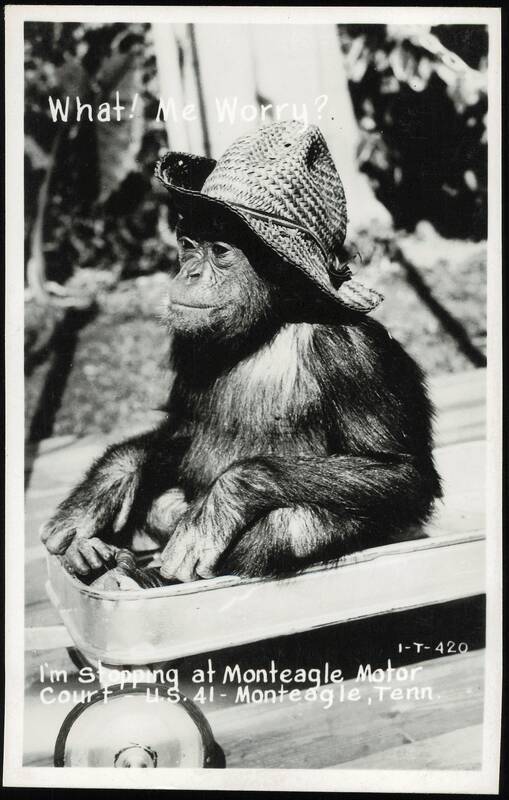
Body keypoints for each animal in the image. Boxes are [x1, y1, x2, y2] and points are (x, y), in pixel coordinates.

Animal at [40, 205, 442, 583]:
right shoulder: (186, 340)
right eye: (188, 246)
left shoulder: (355, 354)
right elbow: (182, 428)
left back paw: (128, 574)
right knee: (162, 502)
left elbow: (402, 471)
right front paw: (105, 487)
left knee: (288, 527)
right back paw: (98, 557)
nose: (190, 273)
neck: (266, 326)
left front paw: (224, 501)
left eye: (220, 251)